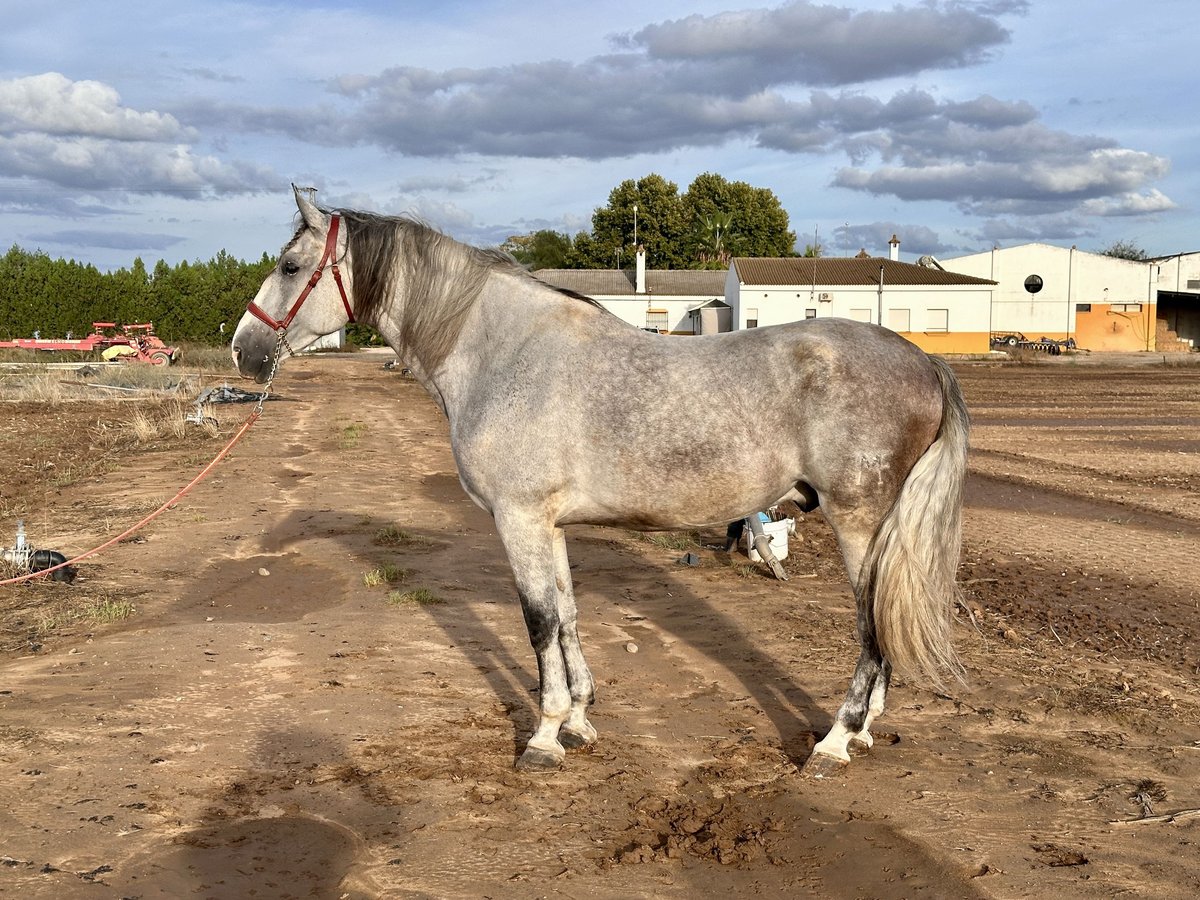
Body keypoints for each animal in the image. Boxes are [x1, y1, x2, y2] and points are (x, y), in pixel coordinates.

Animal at [232, 186, 969, 777]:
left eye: (290, 267)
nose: (244, 349)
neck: (503, 351)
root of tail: (922, 360)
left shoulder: (519, 520)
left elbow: (537, 625)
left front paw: (543, 737)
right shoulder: (547, 525)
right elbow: (566, 618)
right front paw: (580, 722)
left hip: (858, 523)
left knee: (871, 630)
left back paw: (835, 743)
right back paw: (864, 732)